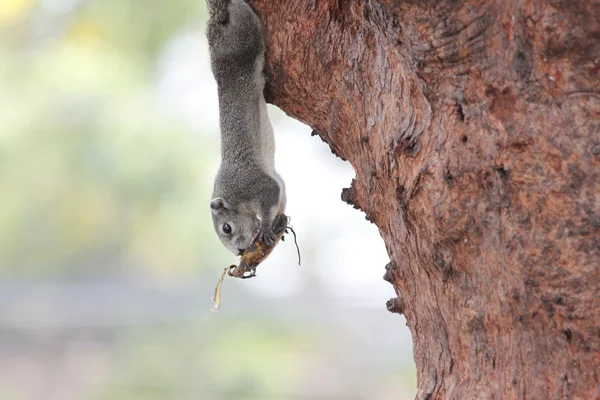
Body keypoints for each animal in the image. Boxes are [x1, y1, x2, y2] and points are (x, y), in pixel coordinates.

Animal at [205, 0, 288, 256]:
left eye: (227, 228)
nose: (240, 252)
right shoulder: (276, 182)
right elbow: (282, 193)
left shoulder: (252, 186)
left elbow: (271, 193)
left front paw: (266, 226)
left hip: (244, 39)